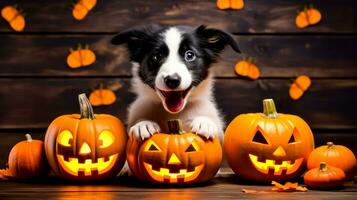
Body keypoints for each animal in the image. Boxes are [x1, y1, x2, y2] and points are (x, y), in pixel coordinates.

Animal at [111, 24, 239, 141]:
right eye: (156, 56)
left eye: (189, 55)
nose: (172, 80)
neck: (174, 114)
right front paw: (143, 124)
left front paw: (205, 122)